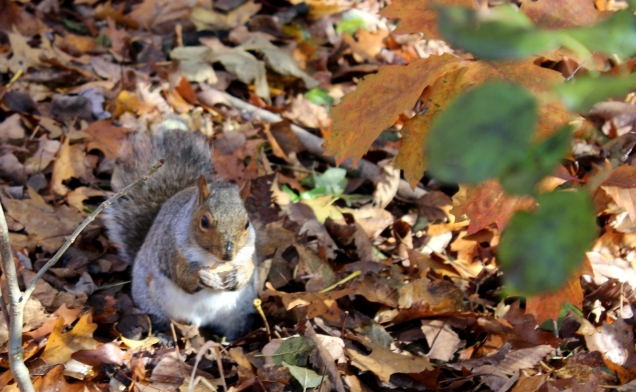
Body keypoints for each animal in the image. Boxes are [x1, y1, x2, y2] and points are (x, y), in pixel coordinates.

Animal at [103, 118, 258, 340]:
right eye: (204, 221)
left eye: (246, 223)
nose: (228, 254)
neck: (211, 258)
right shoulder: (172, 250)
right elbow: (181, 275)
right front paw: (203, 277)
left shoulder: (248, 252)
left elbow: (249, 267)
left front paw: (238, 277)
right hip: (152, 302)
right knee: (160, 320)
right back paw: (164, 336)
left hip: (239, 313)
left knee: (236, 327)